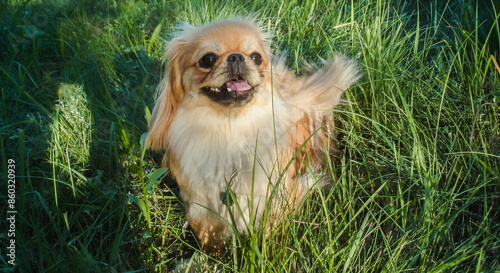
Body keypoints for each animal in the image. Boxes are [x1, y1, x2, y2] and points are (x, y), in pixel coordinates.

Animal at [146, 17, 360, 253]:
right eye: (208, 59)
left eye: (256, 57)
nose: (236, 56)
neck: (230, 130)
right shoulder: (203, 209)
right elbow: (209, 241)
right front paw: (212, 256)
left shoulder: (276, 199)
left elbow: (270, 235)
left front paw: (270, 249)